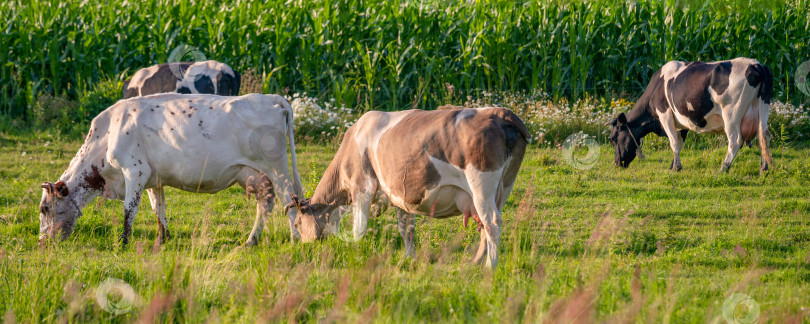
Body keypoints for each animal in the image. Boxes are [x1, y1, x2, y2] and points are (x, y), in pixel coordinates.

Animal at [38, 93, 304, 246]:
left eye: (45, 208)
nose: (42, 243)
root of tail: (270, 97)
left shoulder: (134, 171)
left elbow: (129, 211)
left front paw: (123, 242)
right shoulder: (153, 179)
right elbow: (159, 208)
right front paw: (162, 239)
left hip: (277, 168)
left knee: (289, 199)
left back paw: (296, 239)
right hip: (254, 174)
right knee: (266, 202)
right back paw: (251, 241)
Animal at [286, 106, 532, 268]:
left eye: (297, 223)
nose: (304, 249)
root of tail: (498, 112)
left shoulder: (362, 187)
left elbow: (359, 228)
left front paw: (353, 252)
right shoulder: (399, 196)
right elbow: (406, 229)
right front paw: (409, 259)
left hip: (482, 184)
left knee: (492, 223)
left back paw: (490, 267)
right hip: (504, 187)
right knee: (486, 226)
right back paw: (476, 262)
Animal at [608, 57, 772, 175]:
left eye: (612, 139)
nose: (616, 163)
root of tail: (755, 64)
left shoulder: (665, 114)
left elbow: (674, 142)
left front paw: (676, 168)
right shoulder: (682, 122)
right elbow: (679, 143)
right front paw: (673, 165)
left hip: (731, 113)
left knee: (735, 140)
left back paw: (723, 168)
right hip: (762, 108)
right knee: (763, 136)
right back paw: (763, 169)